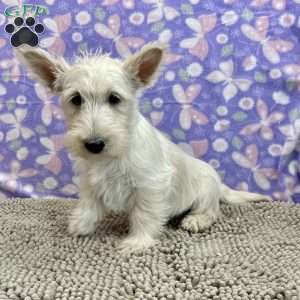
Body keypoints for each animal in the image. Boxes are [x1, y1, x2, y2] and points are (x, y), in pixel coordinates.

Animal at [15, 43, 270, 252]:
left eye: (114, 98)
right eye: (76, 99)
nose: (94, 144)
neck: (113, 156)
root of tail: (220, 185)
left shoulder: (150, 185)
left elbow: (144, 214)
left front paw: (138, 241)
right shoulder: (90, 181)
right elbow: (89, 204)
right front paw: (80, 224)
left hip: (205, 191)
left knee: (212, 211)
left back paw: (196, 220)